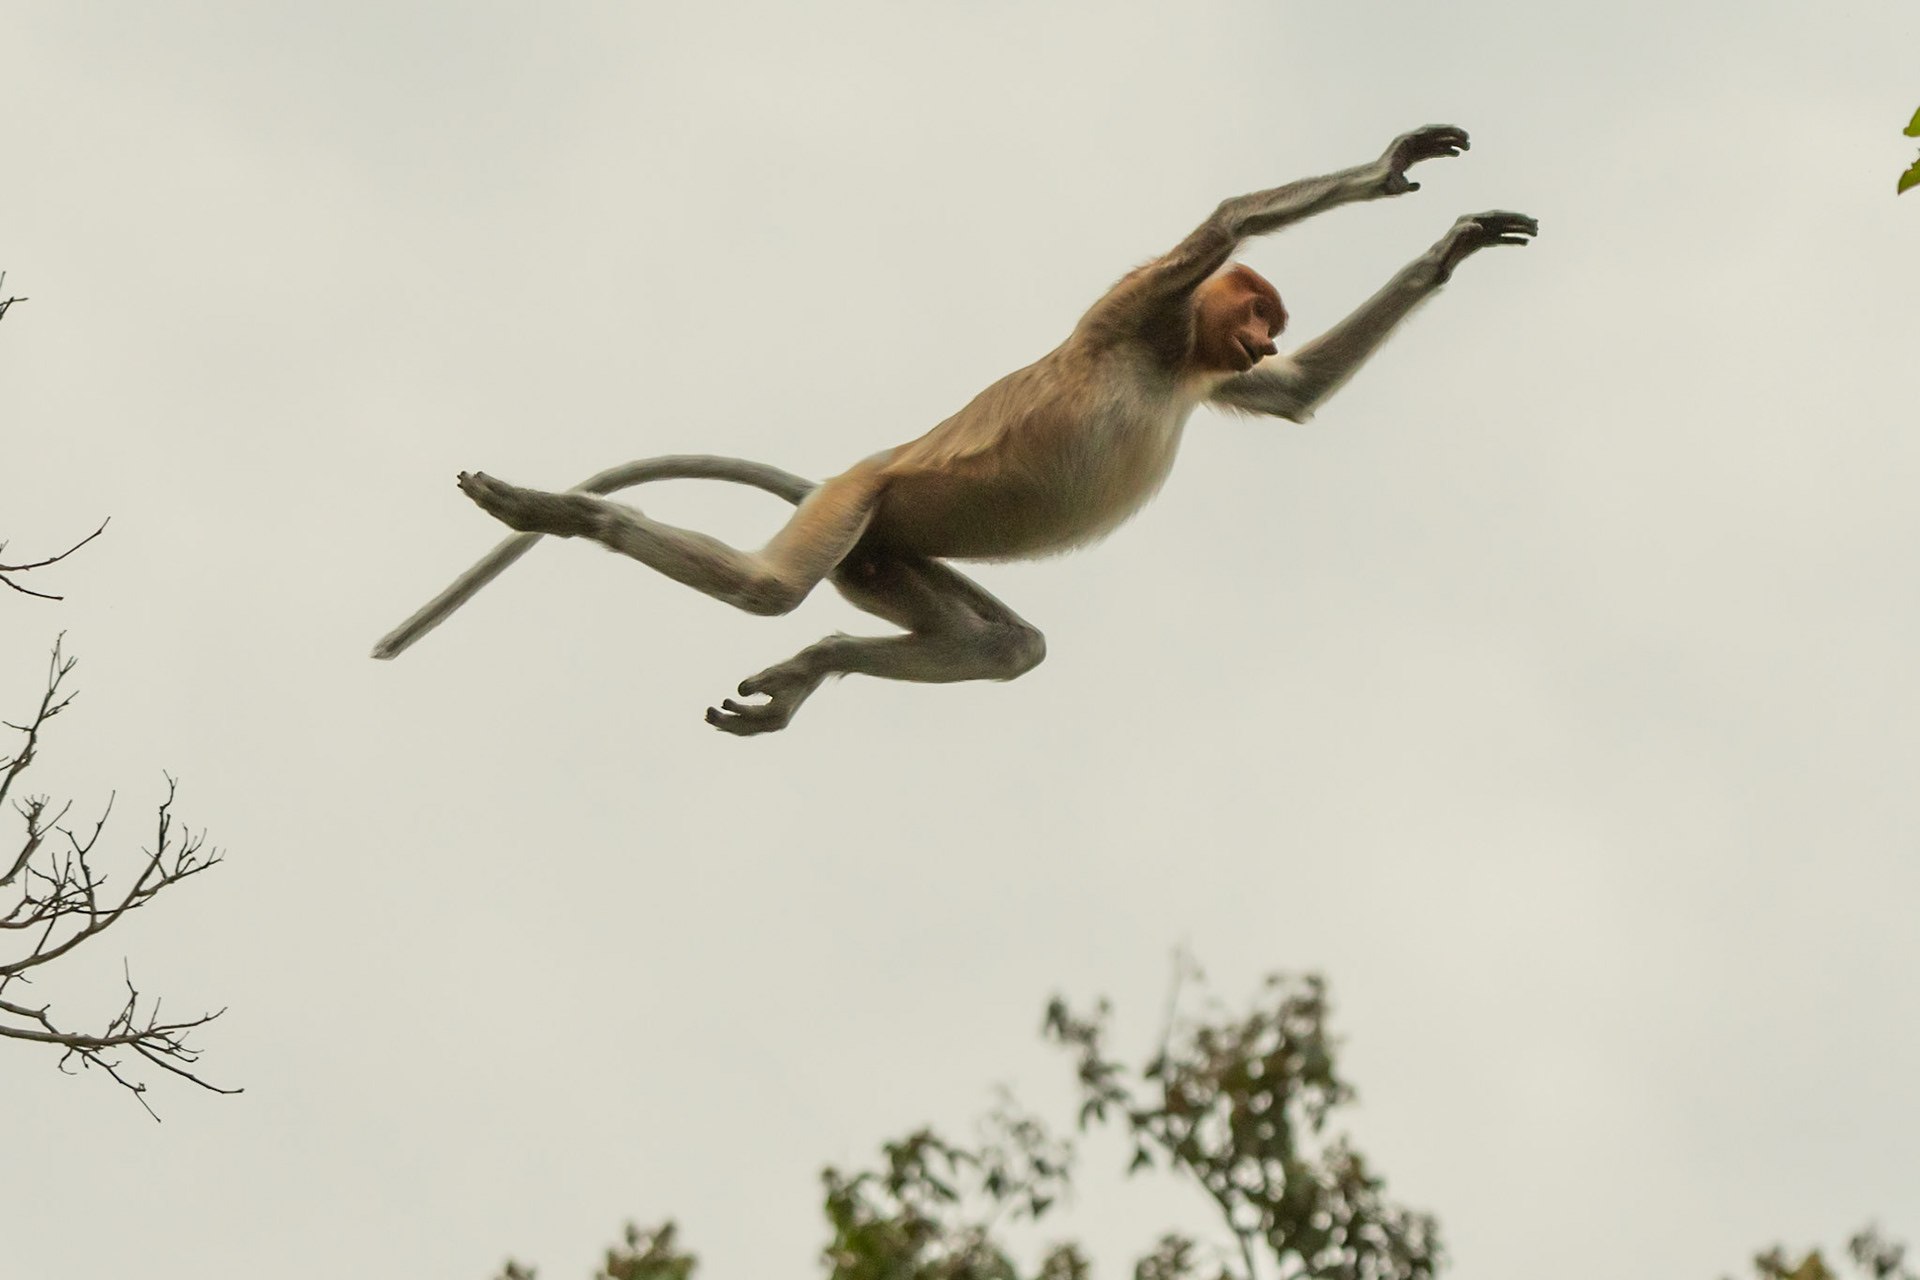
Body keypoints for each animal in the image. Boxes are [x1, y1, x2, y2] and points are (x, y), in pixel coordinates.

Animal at [371, 125, 1536, 735]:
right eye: (1255, 311)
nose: (1257, 338)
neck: (1176, 359)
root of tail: (854, 478)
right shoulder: (1139, 308)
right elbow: (1224, 225)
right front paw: (1389, 166)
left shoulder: (1209, 372)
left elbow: (1290, 397)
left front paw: (1460, 243)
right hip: (864, 499)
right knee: (769, 586)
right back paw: (565, 514)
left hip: (884, 552)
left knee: (1006, 645)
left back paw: (813, 667)